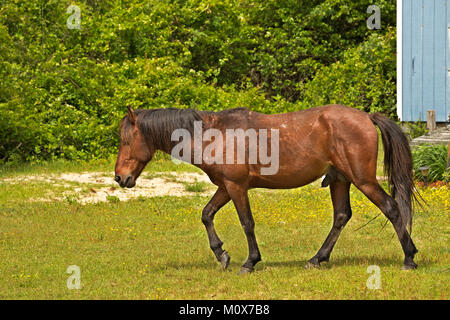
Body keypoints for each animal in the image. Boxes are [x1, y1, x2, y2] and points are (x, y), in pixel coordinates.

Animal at [115, 104, 418, 272]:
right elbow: (206, 214)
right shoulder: (225, 187)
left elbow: (247, 223)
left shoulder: (236, 187)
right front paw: (221, 255)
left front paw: (250, 262)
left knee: (392, 208)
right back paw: (317, 258)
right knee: (341, 216)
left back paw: (409, 258)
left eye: (126, 140)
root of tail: (366, 117)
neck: (213, 136)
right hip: (340, 180)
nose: (119, 177)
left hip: (363, 181)